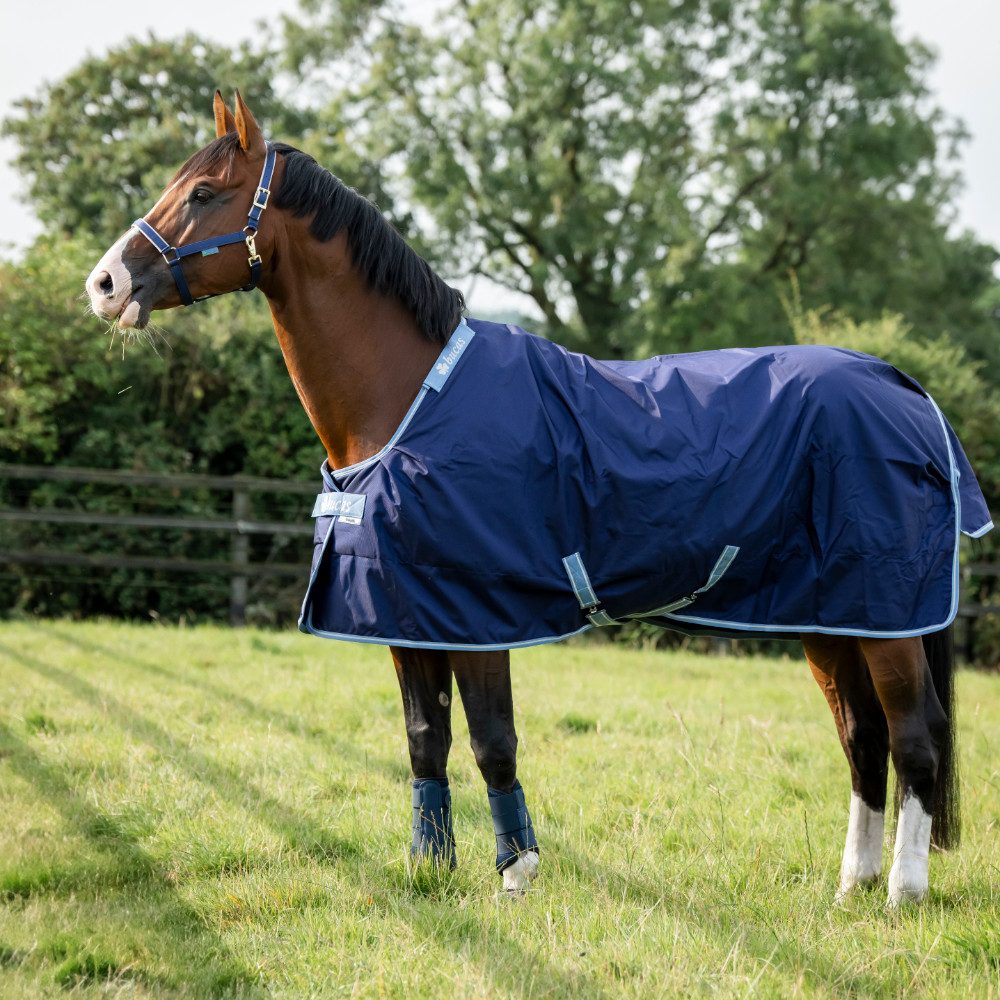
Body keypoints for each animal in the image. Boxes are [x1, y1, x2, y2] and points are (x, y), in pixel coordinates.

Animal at [85, 91, 993, 907]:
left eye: (205, 192)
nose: (103, 284)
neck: (408, 399)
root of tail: (903, 388)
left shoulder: (477, 616)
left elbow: (493, 741)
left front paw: (516, 870)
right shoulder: (407, 613)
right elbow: (425, 741)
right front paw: (428, 869)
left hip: (885, 616)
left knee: (914, 738)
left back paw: (902, 891)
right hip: (829, 614)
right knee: (862, 738)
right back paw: (850, 885)